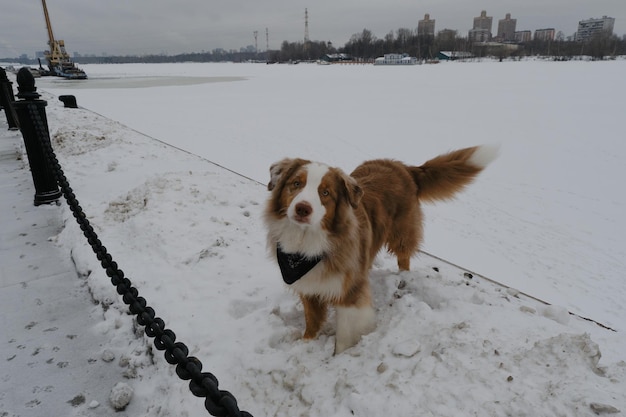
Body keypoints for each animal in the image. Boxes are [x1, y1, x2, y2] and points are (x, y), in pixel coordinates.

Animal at [264, 145, 498, 352]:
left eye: (325, 193)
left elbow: (346, 333)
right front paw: (306, 343)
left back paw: (403, 276)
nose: (303, 208)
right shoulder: (308, 287)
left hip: (401, 233)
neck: (308, 243)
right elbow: (312, 321)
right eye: (296, 183)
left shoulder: (351, 292)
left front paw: (340, 355)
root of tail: (403, 166)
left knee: (404, 256)